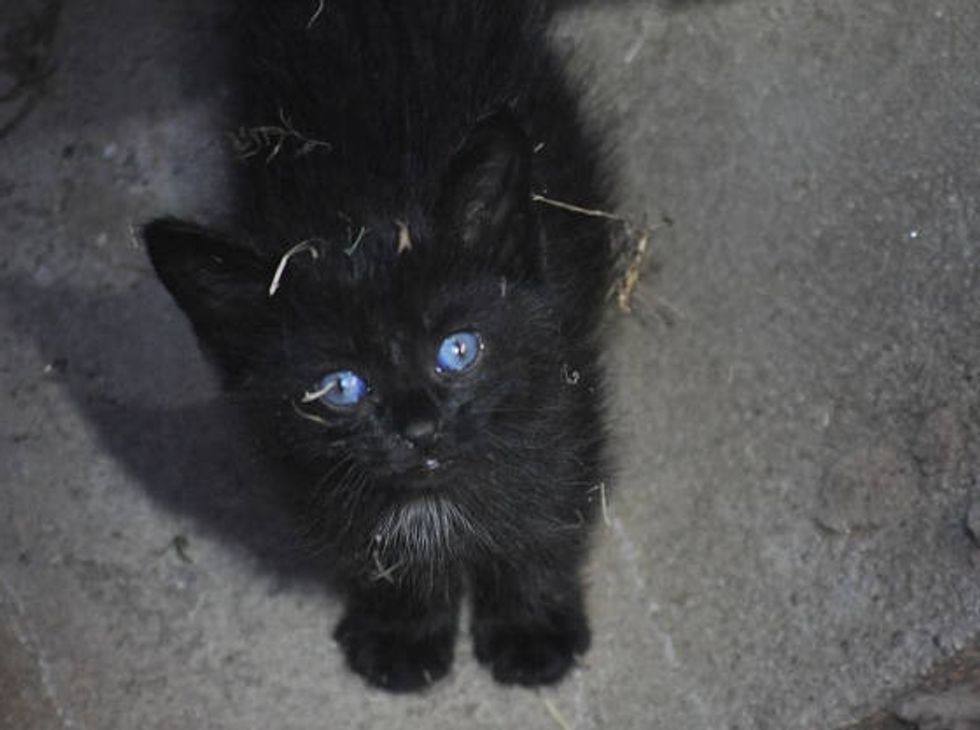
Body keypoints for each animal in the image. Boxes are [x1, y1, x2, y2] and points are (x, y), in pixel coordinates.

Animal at [144, 0, 612, 688]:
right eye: (340, 387)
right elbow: (380, 554)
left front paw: (531, 627)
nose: (418, 428)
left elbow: (546, 510)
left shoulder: (561, 379)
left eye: (458, 350)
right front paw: (405, 631)